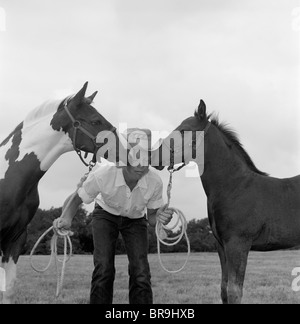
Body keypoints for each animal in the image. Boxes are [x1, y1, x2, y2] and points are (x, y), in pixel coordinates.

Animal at [152, 100, 300, 304]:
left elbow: (234, 291)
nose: (153, 157)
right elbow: (224, 289)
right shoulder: (221, 246)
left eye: (184, 130)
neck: (234, 187)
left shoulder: (237, 244)